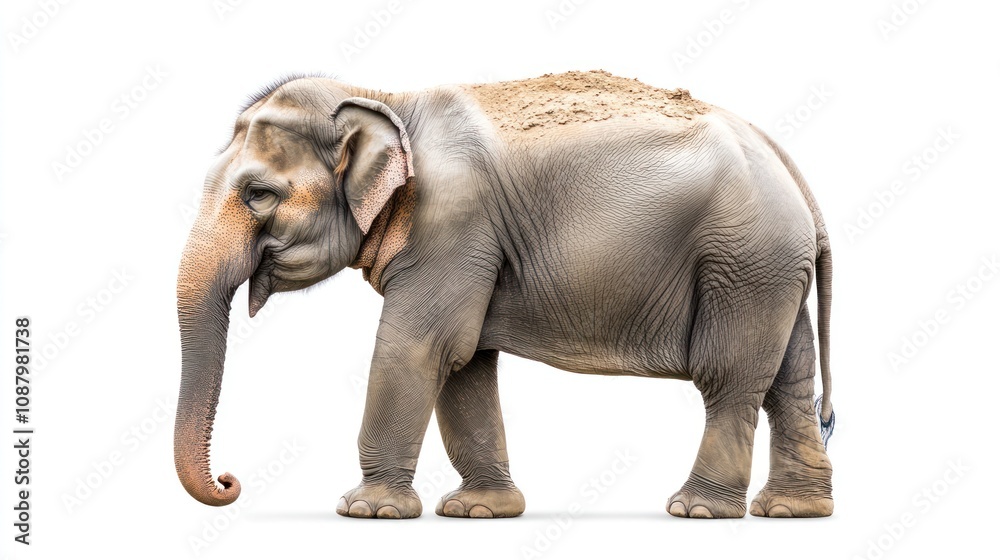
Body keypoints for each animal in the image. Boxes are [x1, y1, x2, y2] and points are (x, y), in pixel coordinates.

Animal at [175, 70, 836, 520]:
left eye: (258, 194)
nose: (230, 482)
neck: (387, 99)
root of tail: (795, 172)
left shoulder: (452, 224)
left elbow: (421, 348)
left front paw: (367, 511)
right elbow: (465, 362)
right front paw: (479, 511)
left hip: (743, 262)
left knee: (729, 378)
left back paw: (697, 511)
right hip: (773, 270)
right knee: (789, 380)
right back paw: (793, 511)